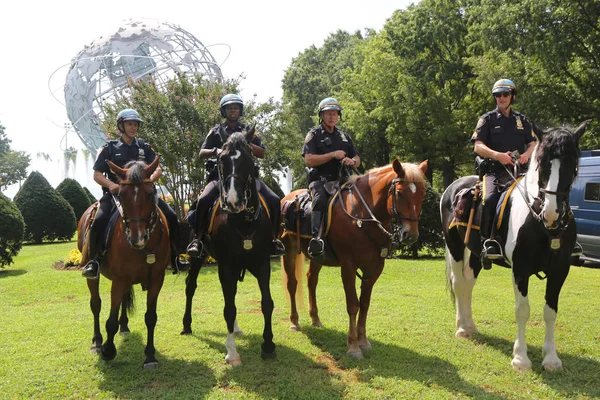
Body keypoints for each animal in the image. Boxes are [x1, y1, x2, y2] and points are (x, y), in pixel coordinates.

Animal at [77, 157, 170, 368]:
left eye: (150, 193)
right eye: (120, 194)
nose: (138, 238)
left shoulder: (156, 279)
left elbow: (150, 317)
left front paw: (150, 356)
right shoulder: (119, 279)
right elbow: (109, 320)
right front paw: (108, 350)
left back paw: (124, 326)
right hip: (93, 276)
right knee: (96, 304)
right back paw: (97, 342)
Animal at [180, 129, 276, 366]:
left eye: (249, 159)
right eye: (221, 160)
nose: (233, 201)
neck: (244, 221)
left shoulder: (262, 264)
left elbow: (266, 303)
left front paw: (268, 345)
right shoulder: (226, 267)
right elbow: (229, 308)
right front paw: (232, 352)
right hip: (197, 258)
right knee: (190, 286)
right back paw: (186, 325)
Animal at [280, 159, 426, 360]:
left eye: (423, 194)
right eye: (399, 192)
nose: (410, 235)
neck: (363, 216)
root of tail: (287, 198)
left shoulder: (374, 267)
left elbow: (364, 304)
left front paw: (363, 340)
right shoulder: (348, 266)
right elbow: (352, 305)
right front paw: (354, 346)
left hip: (316, 256)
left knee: (312, 281)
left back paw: (316, 319)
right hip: (290, 250)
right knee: (292, 284)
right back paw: (294, 322)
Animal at [438, 120, 588, 370]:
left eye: (573, 162)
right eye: (541, 162)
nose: (551, 212)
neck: (541, 224)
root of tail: (453, 187)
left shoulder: (560, 269)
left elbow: (551, 311)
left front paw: (551, 358)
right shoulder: (520, 269)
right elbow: (522, 310)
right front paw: (520, 358)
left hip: (476, 253)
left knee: (468, 283)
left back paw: (470, 325)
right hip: (455, 246)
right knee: (459, 283)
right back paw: (461, 328)